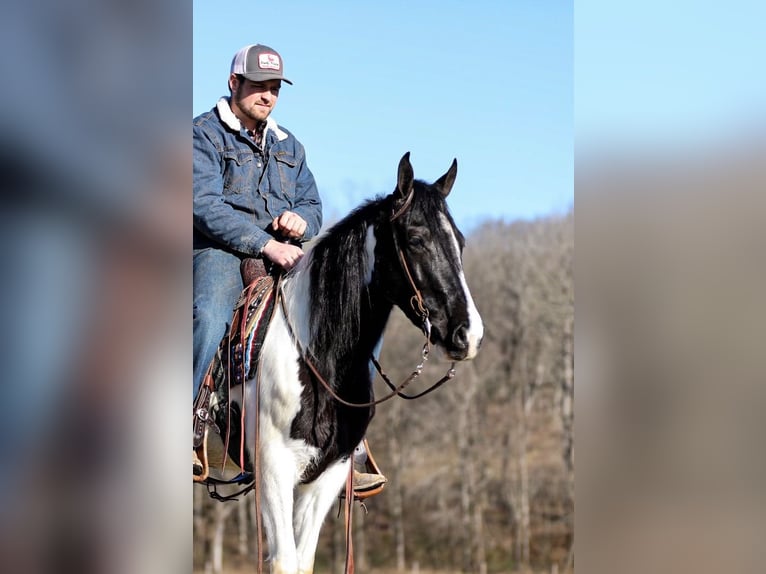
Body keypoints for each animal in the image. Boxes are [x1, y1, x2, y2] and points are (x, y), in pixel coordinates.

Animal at [242, 154, 480, 574]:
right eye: (415, 240)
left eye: (460, 243)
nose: (468, 335)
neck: (318, 357)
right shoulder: (273, 472)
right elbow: (285, 561)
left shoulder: (328, 474)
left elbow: (304, 560)